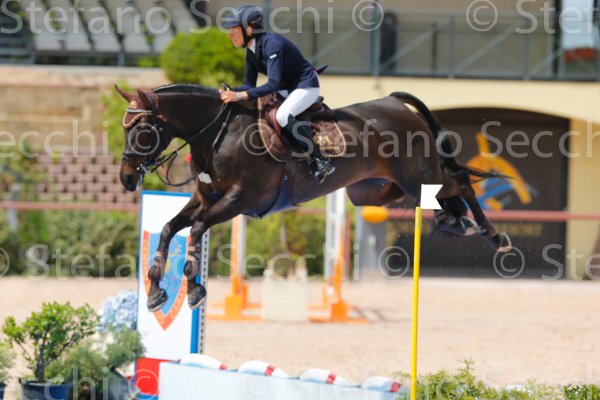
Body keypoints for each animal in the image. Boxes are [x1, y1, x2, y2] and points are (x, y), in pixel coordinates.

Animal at [115, 84, 511, 312]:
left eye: (143, 130)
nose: (127, 179)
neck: (218, 132)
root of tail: (394, 101)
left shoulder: (240, 200)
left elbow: (196, 229)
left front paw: (195, 288)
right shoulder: (206, 198)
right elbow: (170, 228)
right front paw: (155, 291)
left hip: (417, 179)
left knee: (460, 182)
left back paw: (494, 237)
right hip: (380, 190)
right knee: (447, 195)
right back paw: (456, 223)